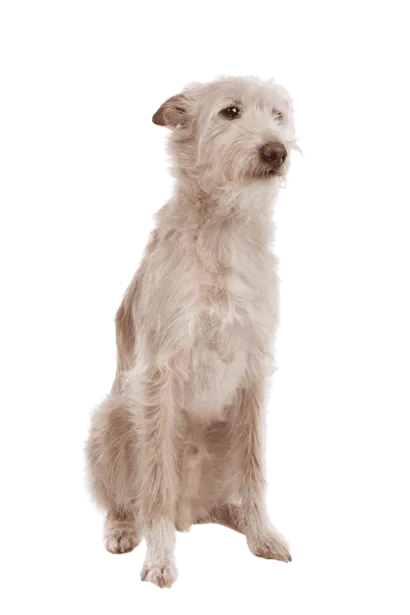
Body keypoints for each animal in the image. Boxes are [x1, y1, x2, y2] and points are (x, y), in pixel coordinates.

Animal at [83, 74, 294, 589]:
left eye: (277, 115)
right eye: (230, 112)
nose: (276, 150)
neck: (224, 226)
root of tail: (193, 512)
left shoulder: (254, 371)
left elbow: (255, 471)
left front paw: (263, 535)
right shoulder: (159, 373)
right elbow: (156, 481)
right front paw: (161, 557)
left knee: (231, 491)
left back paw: (239, 520)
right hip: (110, 420)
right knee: (127, 500)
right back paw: (123, 532)